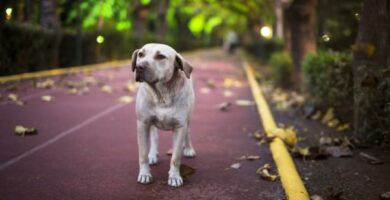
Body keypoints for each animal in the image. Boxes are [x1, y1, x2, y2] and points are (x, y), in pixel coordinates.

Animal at [133, 43, 197, 187]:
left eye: (160, 56)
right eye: (141, 54)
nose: (139, 67)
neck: (161, 95)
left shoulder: (180, 126)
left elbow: (175, 157)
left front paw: (174, 176)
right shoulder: (142, 124)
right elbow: (143, 154)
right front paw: (145, 174)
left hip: (189, 118)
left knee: (188, 132)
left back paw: (188, 148)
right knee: (154, 137)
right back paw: (152, 154)